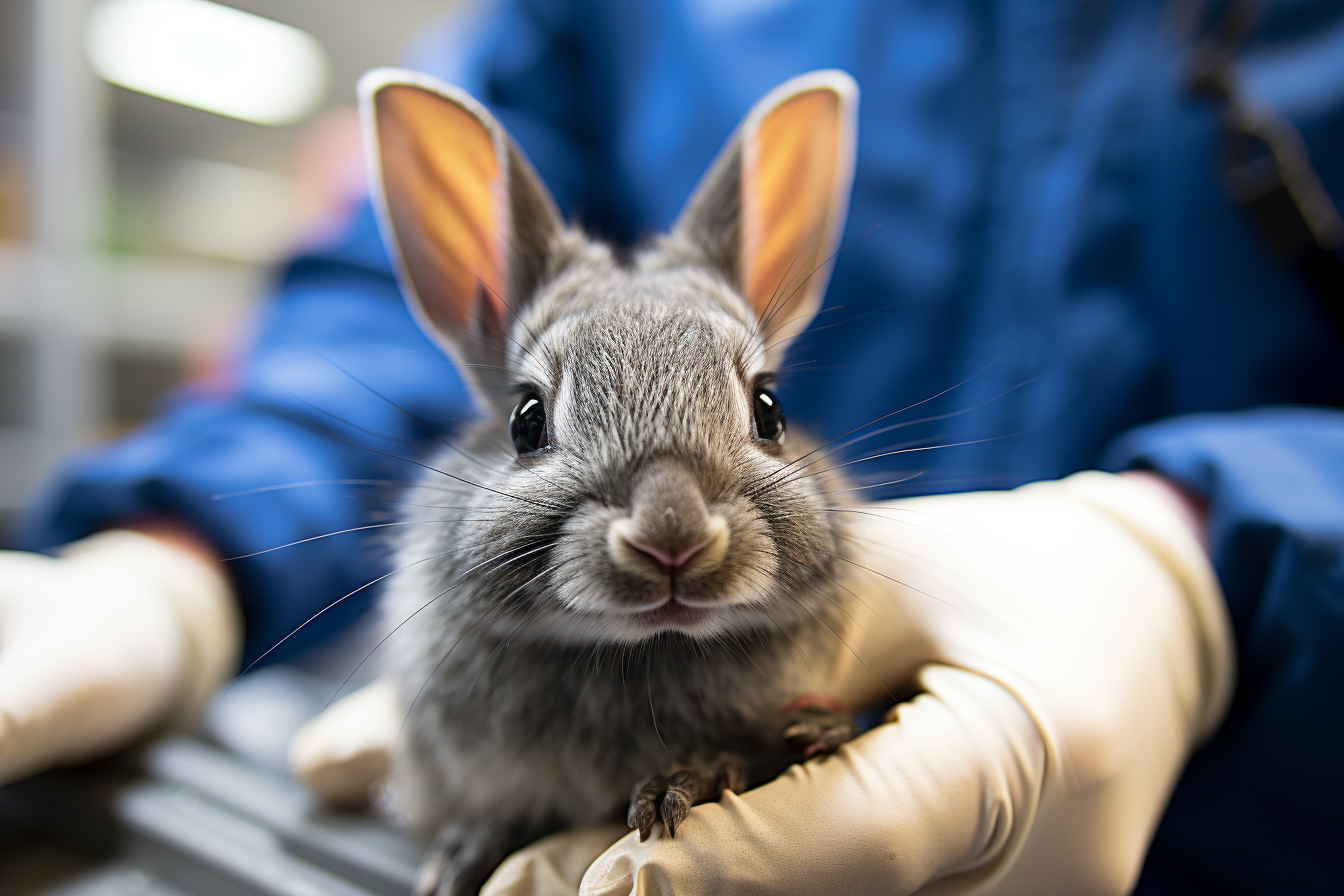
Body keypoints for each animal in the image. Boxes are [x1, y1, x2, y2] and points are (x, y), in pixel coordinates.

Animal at [360, 68, 860, 896]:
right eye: (526, 422)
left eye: (771, 409)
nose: (672, 536)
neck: (641, 647)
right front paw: (463, 854)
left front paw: (685, 782)